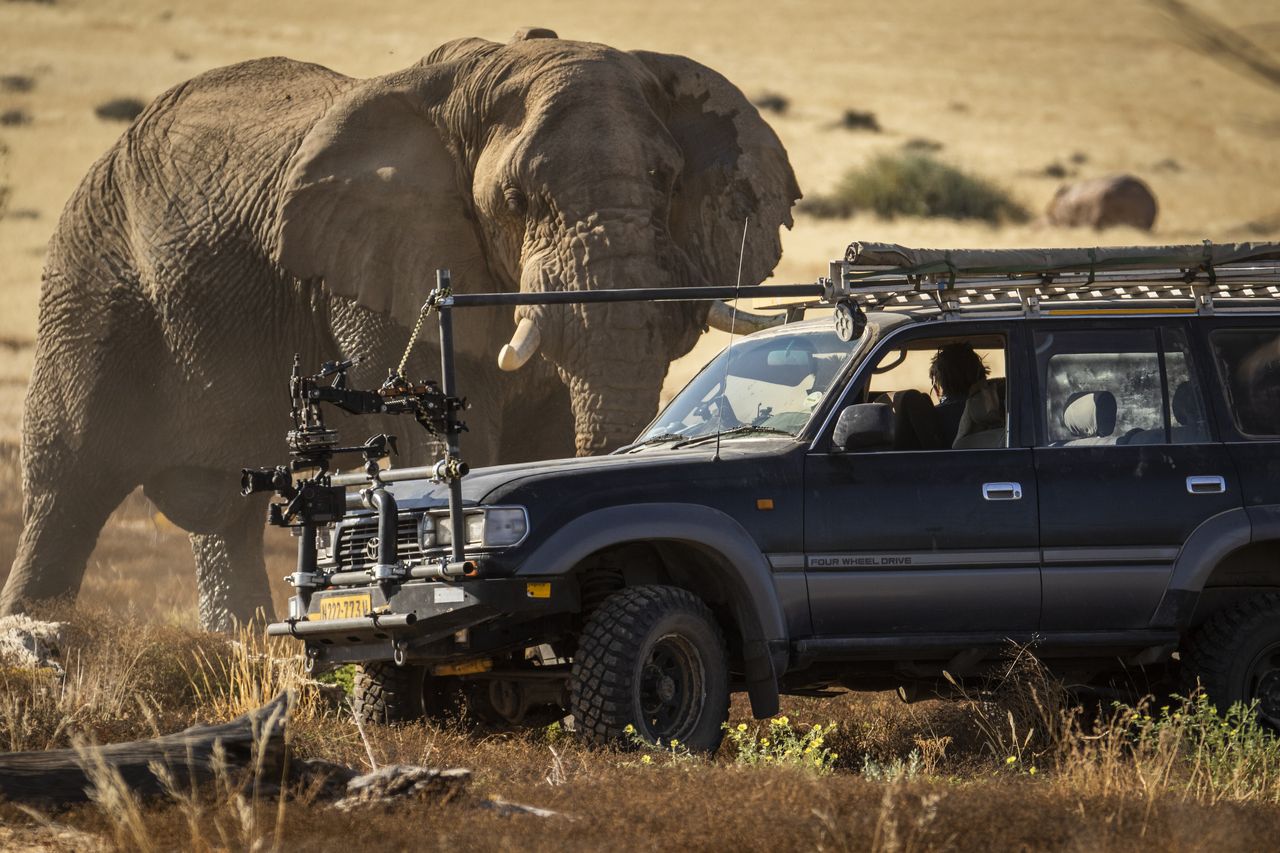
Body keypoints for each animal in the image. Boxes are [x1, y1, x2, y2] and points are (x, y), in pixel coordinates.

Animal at [0, 29, 798, 627]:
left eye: (668, 182)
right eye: (516, 198)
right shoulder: (386, 265)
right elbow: (444, 427)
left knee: (227, 510)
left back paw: (242, 641)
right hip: (93, 269)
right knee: (68, 475)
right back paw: (41, 638)